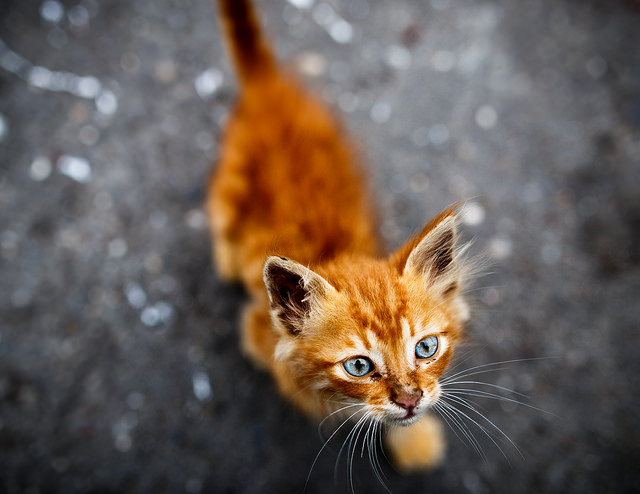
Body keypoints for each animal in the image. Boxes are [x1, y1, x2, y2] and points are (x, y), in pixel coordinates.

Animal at [206, 0, 476, 472]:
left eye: (425, 348)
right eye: (359, 367)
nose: (409, 399)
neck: (333, 251)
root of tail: (266, 87)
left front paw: (414, 435)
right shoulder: (257, 334)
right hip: (228, 185)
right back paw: (226, 258)